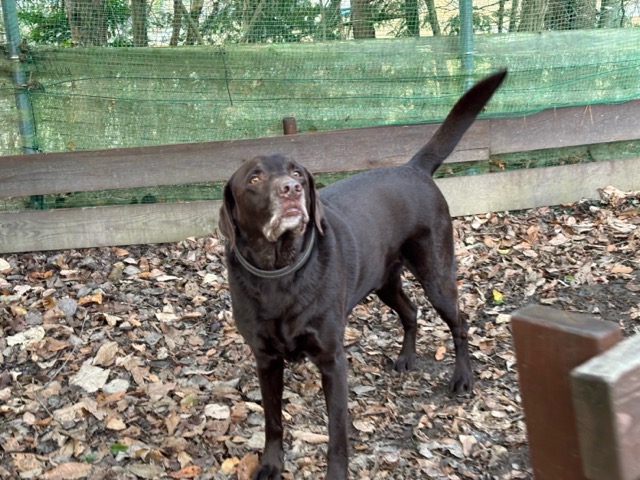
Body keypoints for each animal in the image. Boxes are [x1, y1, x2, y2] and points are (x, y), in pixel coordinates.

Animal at [219, 70, 507, 480]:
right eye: (254, 179)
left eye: (296, 172)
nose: (291, 189)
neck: (279, 270)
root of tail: (412, 167)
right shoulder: (266, 359)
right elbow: (273, 420)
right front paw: (271, 464)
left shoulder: (332, 360)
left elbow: (337, 431)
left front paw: (336, 473)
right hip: (385, 281)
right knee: (411, 312)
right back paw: (406, 358)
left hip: (436, 275)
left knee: (459, 323)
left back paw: (462, 378)